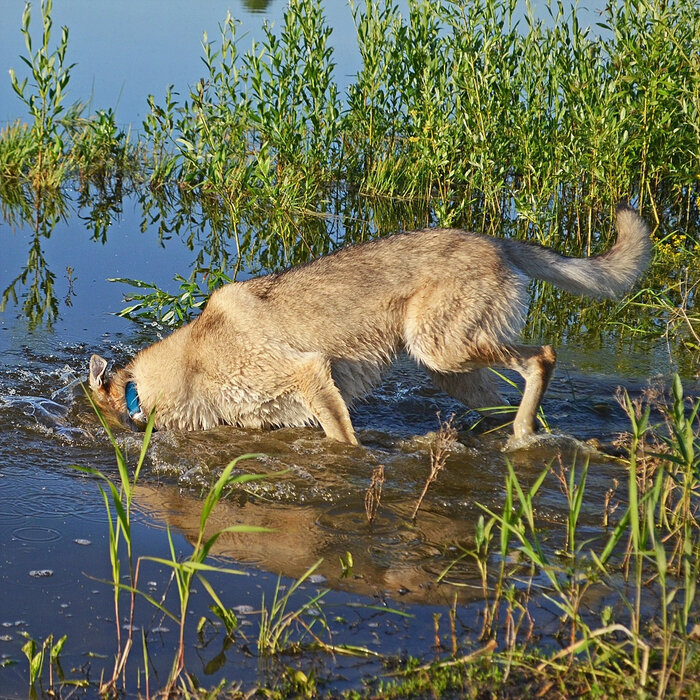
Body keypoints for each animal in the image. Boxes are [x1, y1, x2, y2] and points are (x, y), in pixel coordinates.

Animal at [87, 204, 652, 442]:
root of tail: (494, 241)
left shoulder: (311, 375)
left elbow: (344, 441)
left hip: (442, 351)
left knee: (542, 358)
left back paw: (523, 433)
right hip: (452, 373)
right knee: (513, 399)